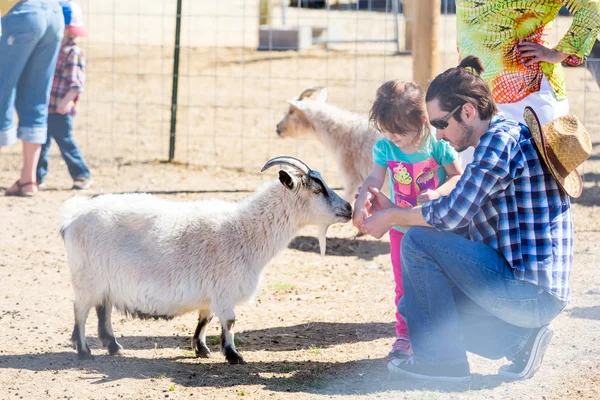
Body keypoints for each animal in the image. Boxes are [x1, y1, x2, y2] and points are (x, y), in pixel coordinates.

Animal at [59, 155, 352, 364]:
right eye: (317, 190)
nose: (349, 208)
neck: (244, 230)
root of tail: (72, 218)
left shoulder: (211, 291)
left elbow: (205, 319)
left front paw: (201, 349)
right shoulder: (224, 289)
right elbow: (229, 322)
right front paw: (233, 355)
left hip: (104, 281)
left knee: (103, 310)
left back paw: (113, 346)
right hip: (86, 279)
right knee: (80, 311)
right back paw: (84, 351)